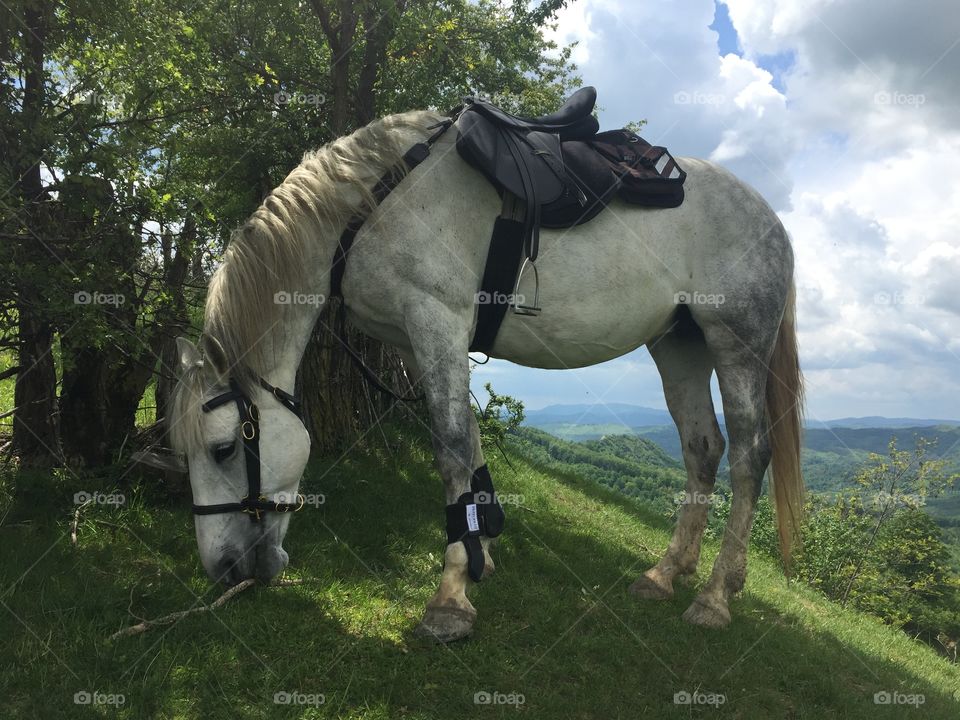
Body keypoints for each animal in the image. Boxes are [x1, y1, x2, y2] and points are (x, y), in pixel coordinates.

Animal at [167, 109, 804, 642]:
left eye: (224, 449)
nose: (224, 568)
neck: (370, 205)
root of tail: (771, 219)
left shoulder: (436, 321)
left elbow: (450, 448)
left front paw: (450, 599)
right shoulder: (420, 341)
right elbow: (469, 440)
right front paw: (480, 554)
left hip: (736, 342)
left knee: (749, 454)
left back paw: (716, 595)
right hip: (679, 344)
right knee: (703, 448)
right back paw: (668, 572)